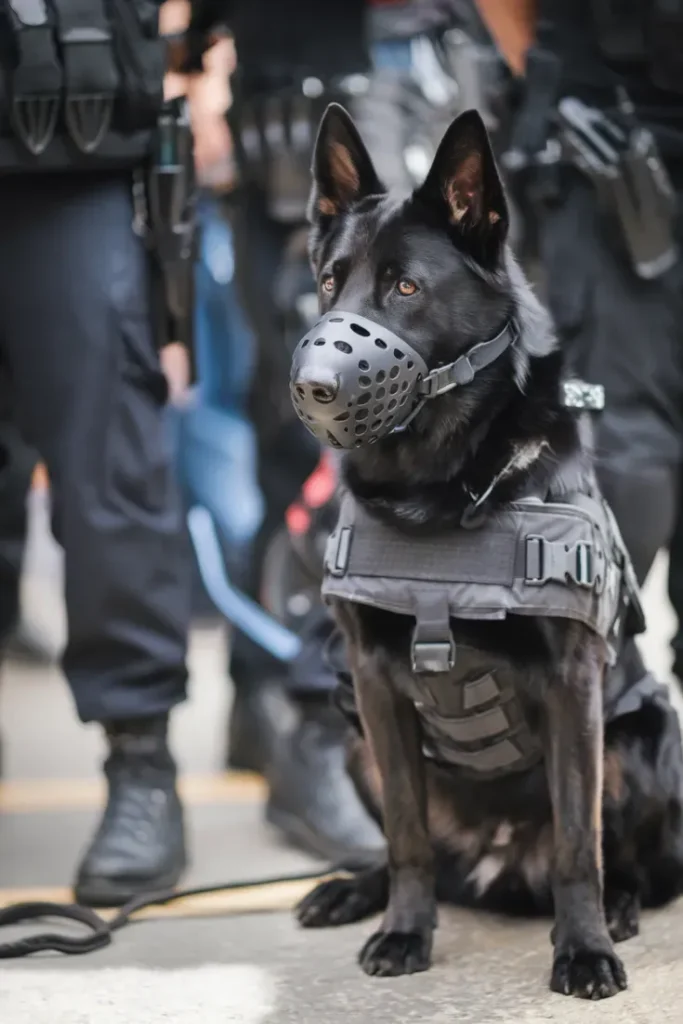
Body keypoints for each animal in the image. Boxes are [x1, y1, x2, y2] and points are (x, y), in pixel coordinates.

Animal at [290, 105, 683, 999]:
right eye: (329, 282)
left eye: (405, 287)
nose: (315, 387)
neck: (438, 487)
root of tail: (496, 867)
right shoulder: (371, 680)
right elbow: (405, 834)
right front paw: (403, 930)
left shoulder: (573, 684)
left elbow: (578, 844)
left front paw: (583, 950)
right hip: (348, 721)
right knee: (422, 853)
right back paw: (355, 888)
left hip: (650, 737)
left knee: (629, 865)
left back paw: (617, 910)